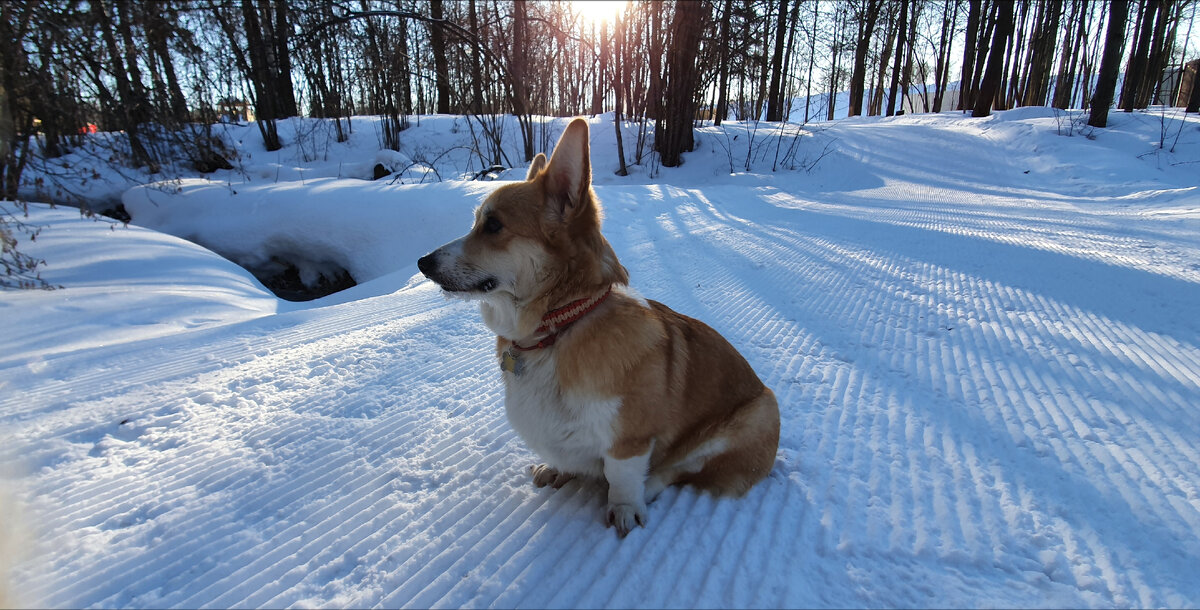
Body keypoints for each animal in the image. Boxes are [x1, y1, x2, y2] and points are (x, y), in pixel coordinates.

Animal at [417, 116, 782, 535]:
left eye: (493, 225)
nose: (422, 263)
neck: (557, 328)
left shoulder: (631, 440)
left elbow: (623, 475)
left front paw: (624, 509)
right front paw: (558, 469)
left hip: (754, 417)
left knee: (681, 469)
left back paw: (650, 487)